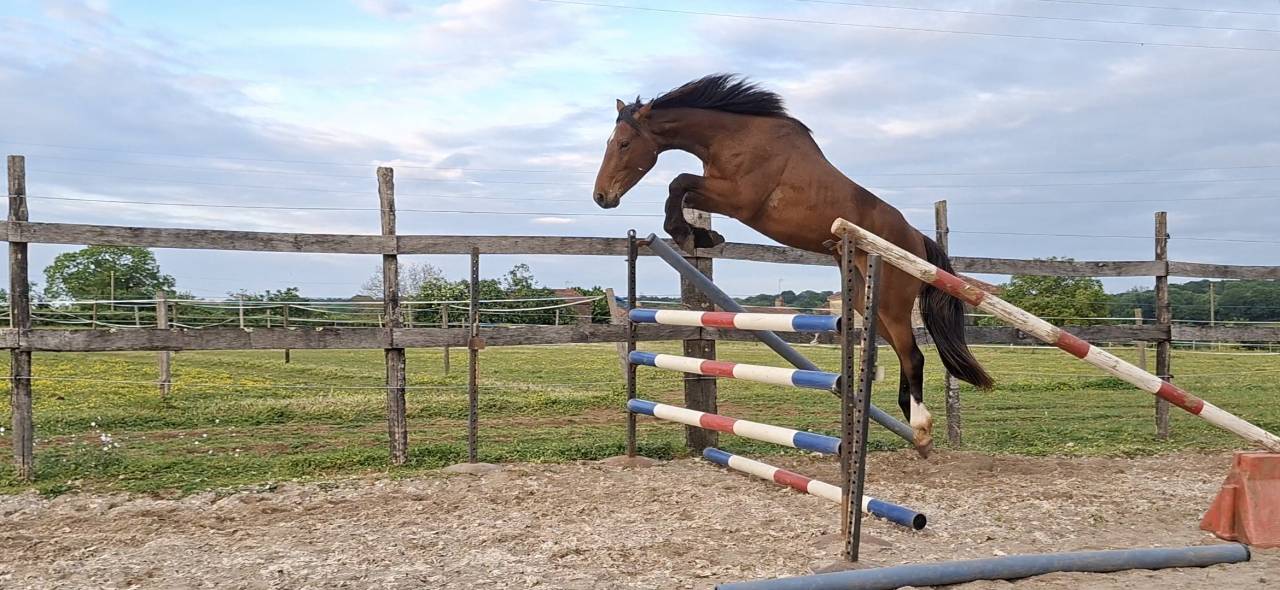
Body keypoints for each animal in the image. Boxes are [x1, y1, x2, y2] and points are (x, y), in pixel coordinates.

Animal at [591, 74, 994, 457]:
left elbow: (680, 183)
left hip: (893, 300)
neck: (733, 137)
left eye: (623, 143)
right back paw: (910, 425)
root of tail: (916, 239)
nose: (601, 197)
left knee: (913, 355)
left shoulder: (739, 198)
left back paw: (922, 429)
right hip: (869, 301)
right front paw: (699, 235)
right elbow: (682, 189)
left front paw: (692, 234)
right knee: (900, 351)